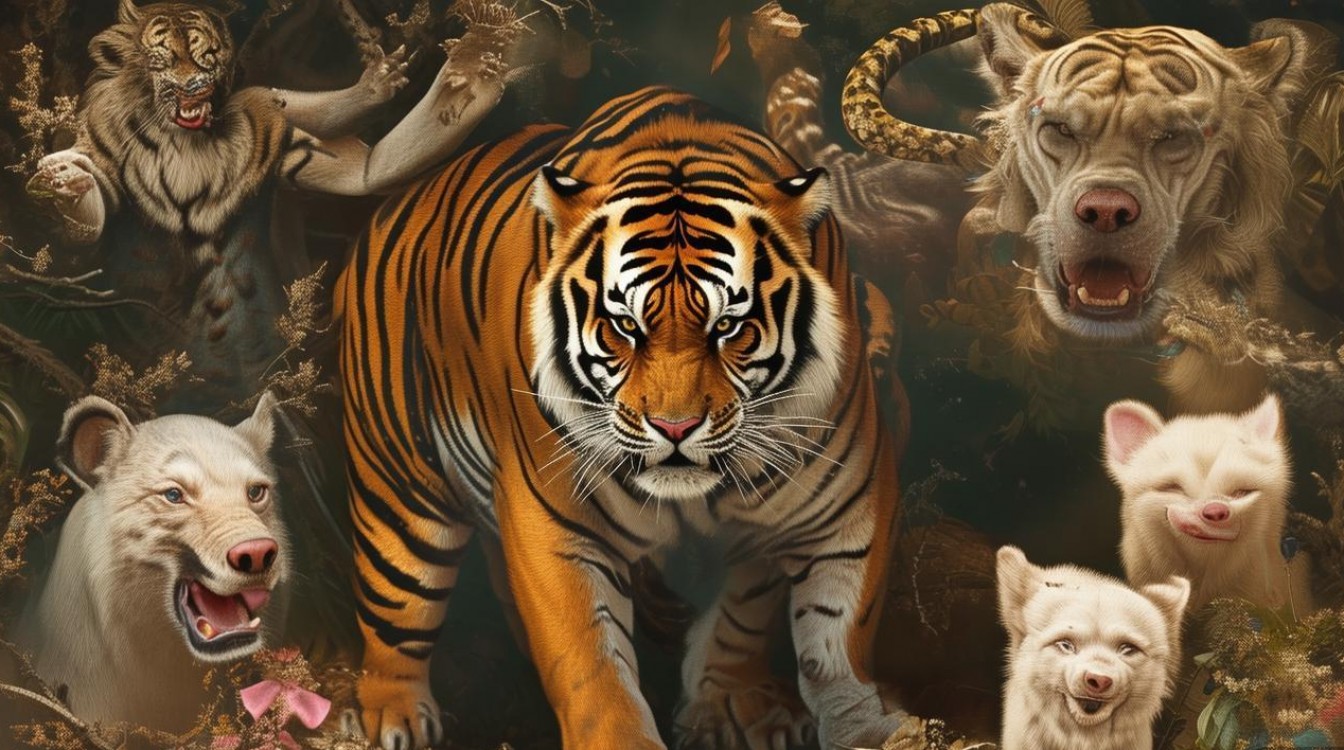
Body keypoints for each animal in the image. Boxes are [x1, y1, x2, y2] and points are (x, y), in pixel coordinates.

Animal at [336, 87, 908, 750]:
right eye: (624, 327)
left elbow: (814, 632)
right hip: (400, 494)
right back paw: (392, 718)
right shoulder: (557, 528)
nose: (676, 428)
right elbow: (590, 663)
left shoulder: (846, 511)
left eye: (728, 327)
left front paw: (755, 709)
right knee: (397, 607)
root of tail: (395, 203)